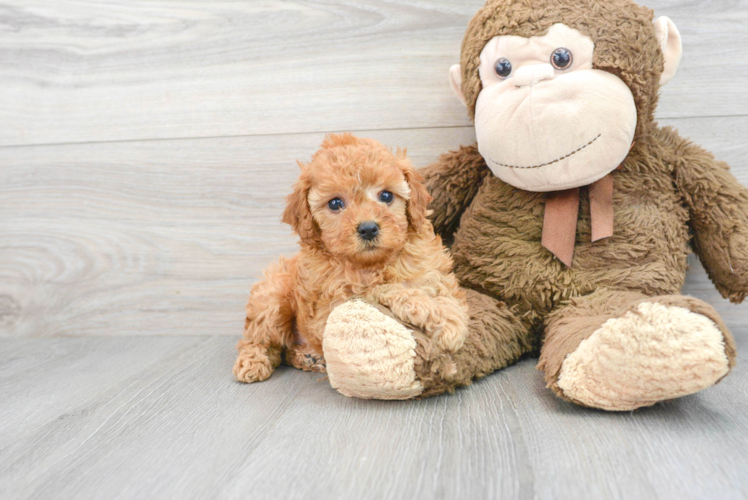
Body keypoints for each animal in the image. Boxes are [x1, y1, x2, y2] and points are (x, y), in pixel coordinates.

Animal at [234, 133, 468, 382]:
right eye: (335, 203)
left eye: (386, 195)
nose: (368, 229)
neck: (375, 264)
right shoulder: (333, 305)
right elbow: (384, 289)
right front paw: (442, 319)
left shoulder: (433, 271)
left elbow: (446, 294)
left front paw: (450, 318)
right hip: (272, 295)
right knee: (258, 338)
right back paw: (253, 362)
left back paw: (309, 357)